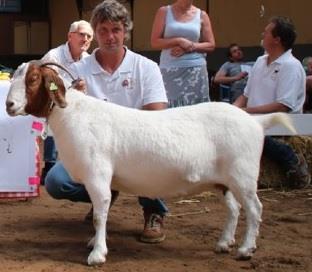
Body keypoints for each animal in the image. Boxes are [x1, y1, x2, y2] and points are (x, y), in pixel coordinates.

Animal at [5, 61, 294, 266]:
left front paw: (97, 254)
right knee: (234, 209)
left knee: (255, 208)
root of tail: (256, 122)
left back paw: (246, 249)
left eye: (33, 79)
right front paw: (94, 242)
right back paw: (224, 243)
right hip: (223, 180)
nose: (9, 105)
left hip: (243, 175)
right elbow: (100, 213)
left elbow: (100, 215)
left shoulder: (97, 175)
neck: (75, 115)